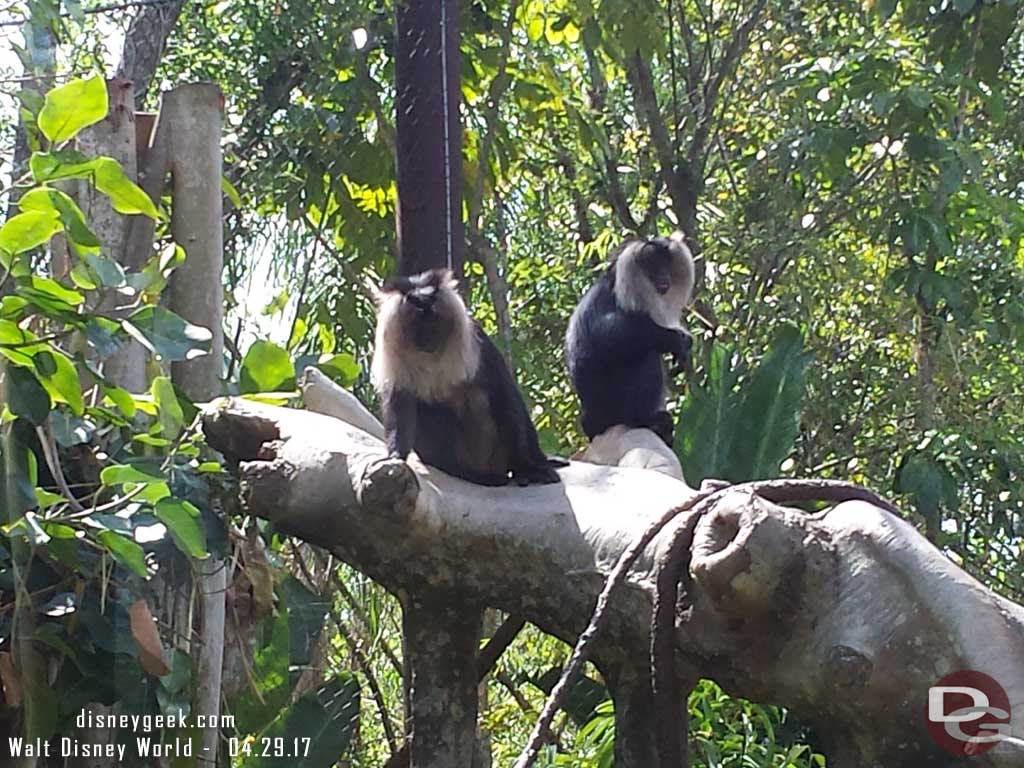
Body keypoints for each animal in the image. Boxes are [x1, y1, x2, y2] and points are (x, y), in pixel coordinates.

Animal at [370, 270, 561, 487]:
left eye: (434, 324)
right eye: (418, 328)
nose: (428, 339)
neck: (431, 356)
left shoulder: (478, 345)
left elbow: (506, 398)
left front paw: (529, 468)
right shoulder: (397, 370)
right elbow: (401, 412)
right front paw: (395, 458)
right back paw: (467, 473)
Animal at [561, 237, 696, 448]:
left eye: (665, 263)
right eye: (652, 265)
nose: (663, 276)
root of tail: (589, 421)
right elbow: (609, 337)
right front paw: (675, 340)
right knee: (648, 355)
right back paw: (644, 419)